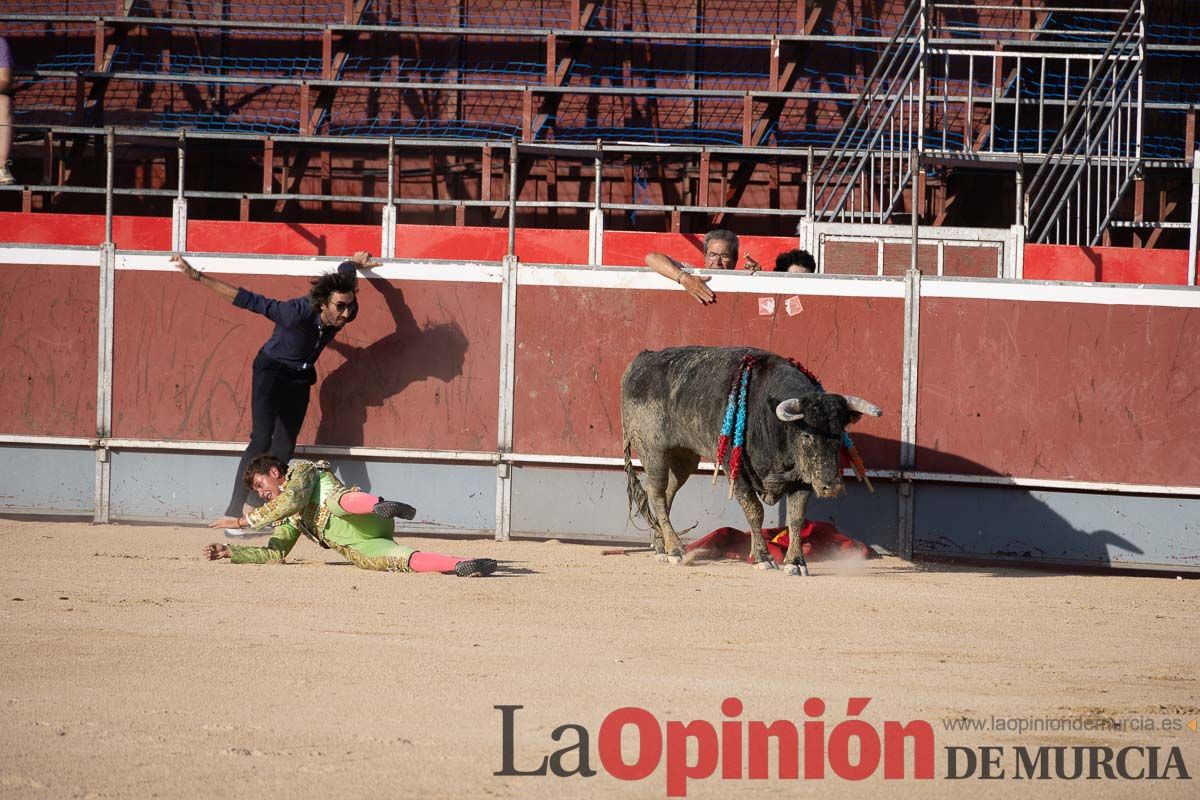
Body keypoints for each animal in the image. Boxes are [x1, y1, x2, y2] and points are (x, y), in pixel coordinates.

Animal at [624, 345, 878, 575]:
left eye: (840, 433)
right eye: (807, 435)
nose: (831, 487)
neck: (771, 420)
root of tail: (641, 360)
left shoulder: (803, 477)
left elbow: (796, 518)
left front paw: (795, 562)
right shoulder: (735, 469)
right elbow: (755, 511)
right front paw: (763, 557)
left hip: (684, 458)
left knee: (667, 494)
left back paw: (662, 546)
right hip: (653, 452)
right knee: (656, 494)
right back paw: (676, 550)